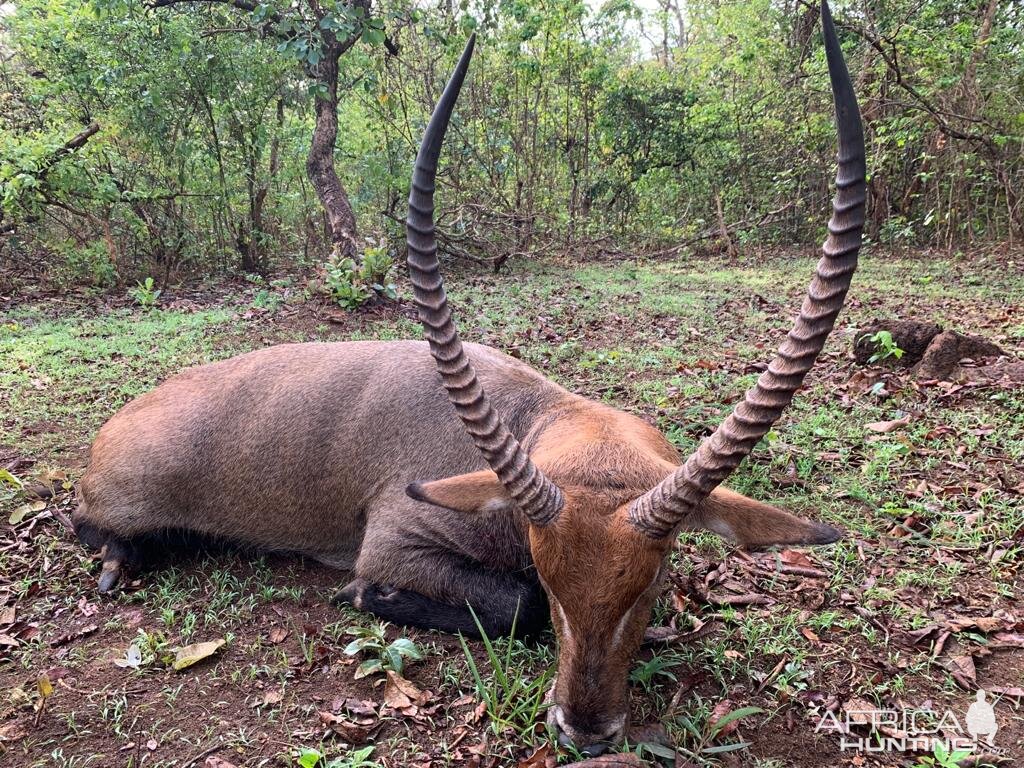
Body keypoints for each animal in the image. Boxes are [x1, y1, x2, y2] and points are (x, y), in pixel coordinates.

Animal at [74, 3, 864, 753]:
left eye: (651, 578)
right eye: (548, 573)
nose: (583, 731)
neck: (532, 419)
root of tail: (120, 422)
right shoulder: (395, 540)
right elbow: (510, 607)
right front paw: (367, 597)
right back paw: (120, 561)